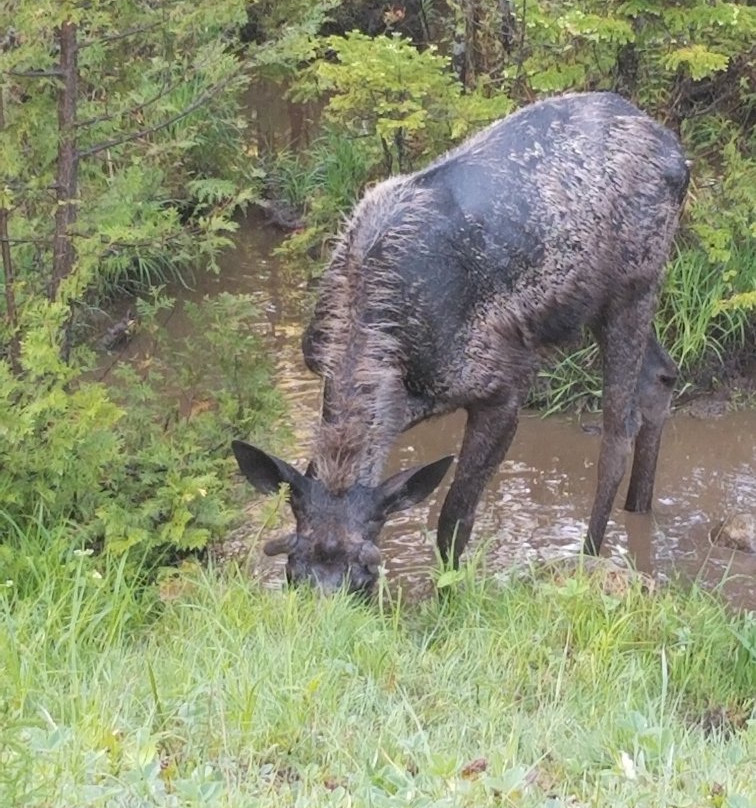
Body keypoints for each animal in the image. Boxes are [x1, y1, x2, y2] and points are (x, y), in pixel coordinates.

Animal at [232, 92, 688, 595]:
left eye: (364, 577)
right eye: (292, 573)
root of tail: (679, 156)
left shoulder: (501, 389)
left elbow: (454, 519)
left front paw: (447, 597)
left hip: (632, 288)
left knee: (619, 425)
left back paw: (589, 554)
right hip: (604, 306)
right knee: (660, 375)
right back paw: (639, 513)